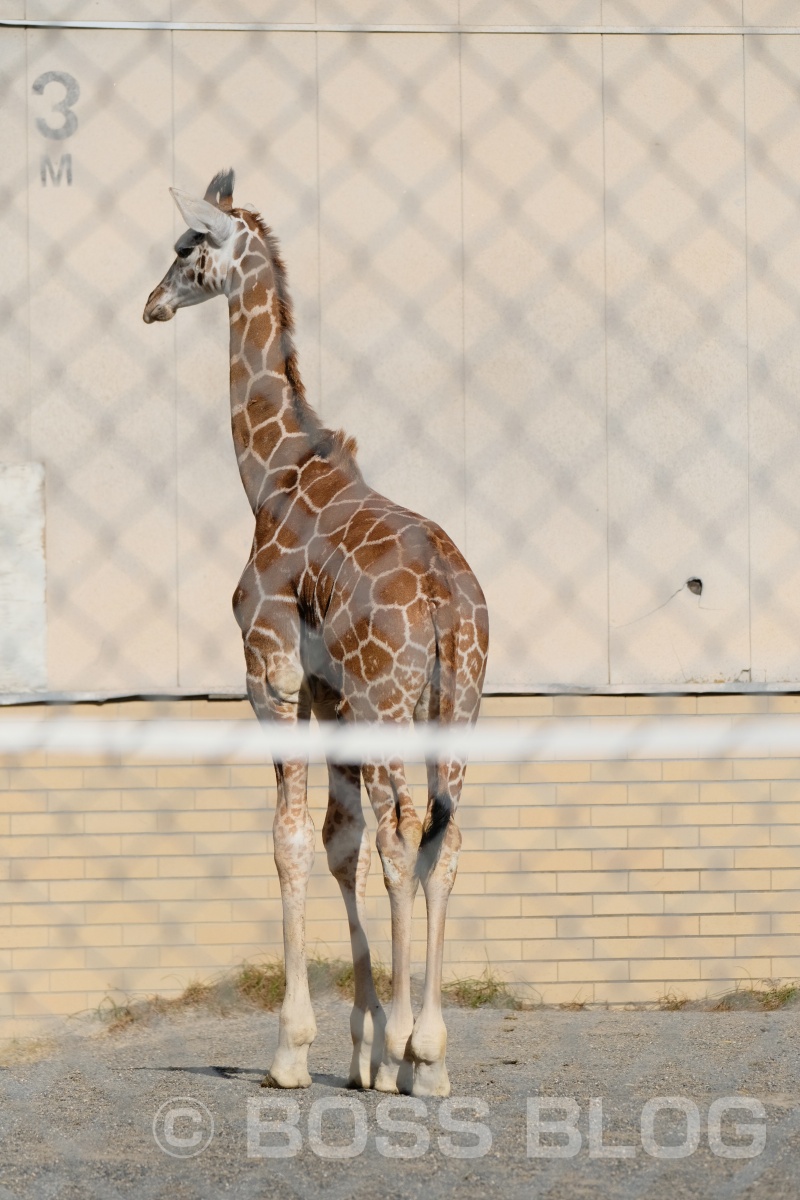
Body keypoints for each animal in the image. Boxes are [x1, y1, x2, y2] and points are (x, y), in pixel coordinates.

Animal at [143, 169, 489, 1099]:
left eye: (187, 249)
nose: (152, 304)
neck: (269, 475)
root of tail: (448, 603)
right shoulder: (329, 689)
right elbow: (339, 841)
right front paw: (362, 1049)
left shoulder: (270, 672)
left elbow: (291, 841)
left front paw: (295, 1050)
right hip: (459, 704)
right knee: (442, 840)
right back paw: (431, 1058)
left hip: (391, 697)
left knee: (406, 834)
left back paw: (414, 1044)